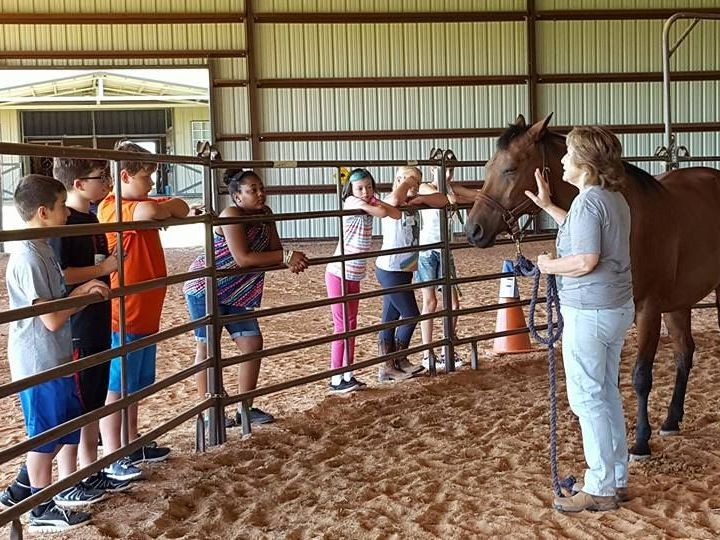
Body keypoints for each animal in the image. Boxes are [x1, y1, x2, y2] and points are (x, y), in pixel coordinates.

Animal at [464, 115, 720, 460]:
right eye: (490, 165)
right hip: (679, 303)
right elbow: (610, 379)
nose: (473, 230)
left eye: (510, 168)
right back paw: (671, 420)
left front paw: (640, 442)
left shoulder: (648, 310)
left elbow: (641, 377)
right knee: (684, 353)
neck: (629, 217)